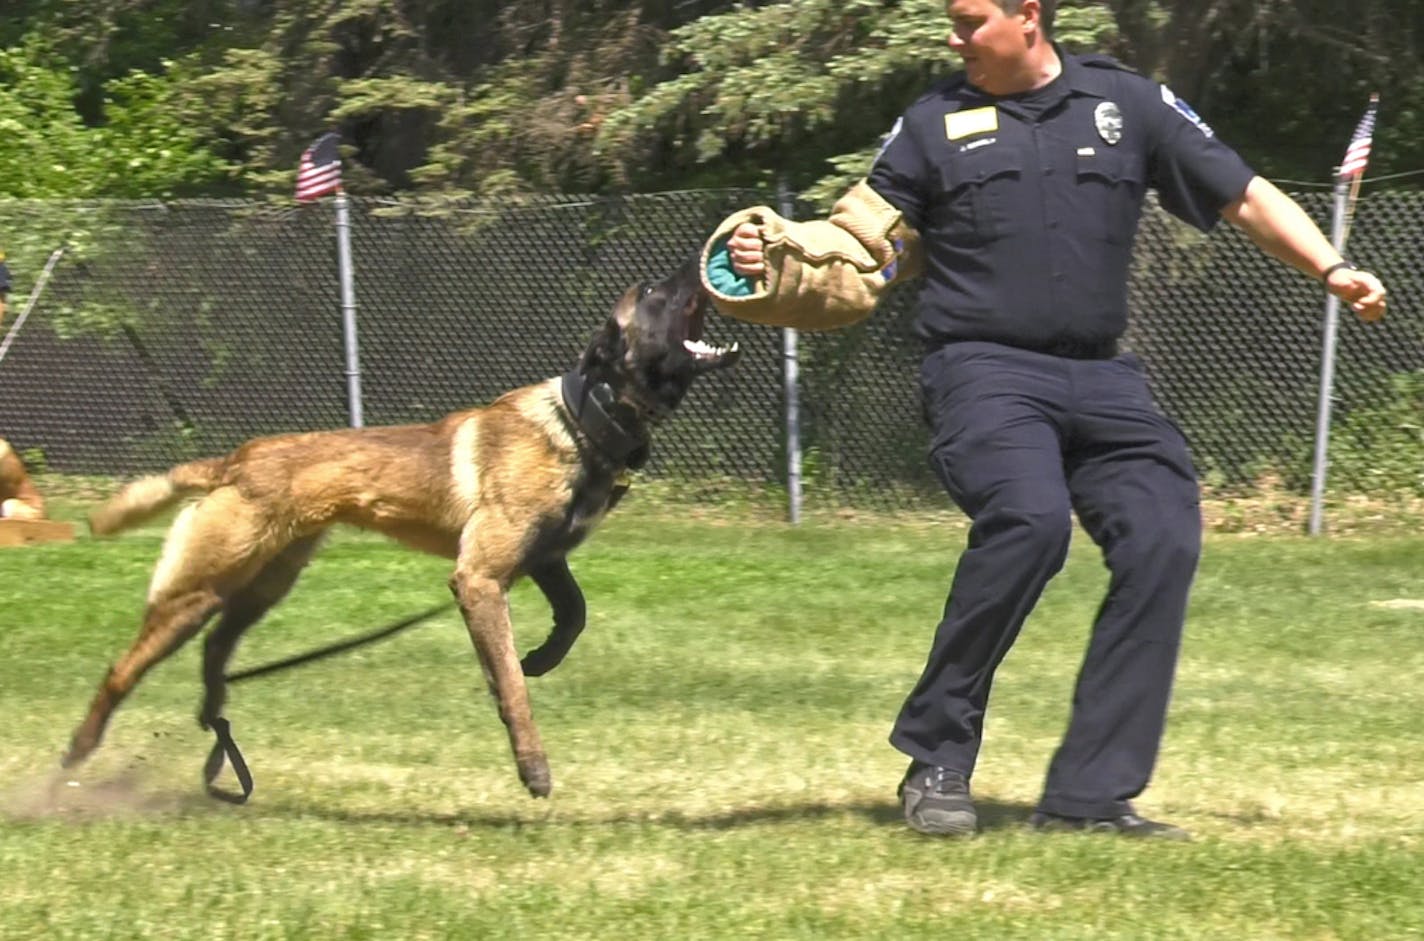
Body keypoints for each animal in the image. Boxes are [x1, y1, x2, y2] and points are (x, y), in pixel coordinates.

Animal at [61, 260, 740, 797]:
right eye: (652, 290)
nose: (701, 260)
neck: (582, 417)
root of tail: (235, 459)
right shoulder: (480, 578)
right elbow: (512, 683)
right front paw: (532, 763)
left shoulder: (544, 559)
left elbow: (573, 615)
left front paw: (542, 657)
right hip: (200, 589)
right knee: (121, 670)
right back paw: (75, 756)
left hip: (263, 585)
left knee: (214, 649)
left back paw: (213, 718)